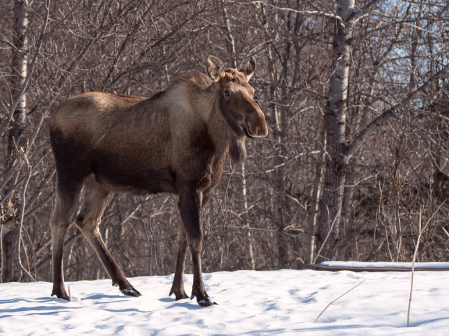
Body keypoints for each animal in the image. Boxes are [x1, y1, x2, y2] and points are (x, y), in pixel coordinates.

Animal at [49, 55, 266, 308]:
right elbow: (196, 238)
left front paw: (180, 290)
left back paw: (126, 285)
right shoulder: (189, 185)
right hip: (70, 172)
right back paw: (60, 290)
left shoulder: (203, 189)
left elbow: (183, 239)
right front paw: (202, 294)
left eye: (252, 90)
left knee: (87, 221)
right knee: (60, 221)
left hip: (99, 182)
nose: (259, 125)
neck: (216, 139)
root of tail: (52, 116)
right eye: (228, 92)